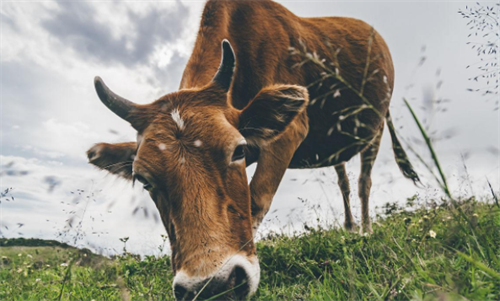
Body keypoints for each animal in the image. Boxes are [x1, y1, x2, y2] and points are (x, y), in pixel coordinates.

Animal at [86, 0, 418, 298]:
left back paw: (365, 230)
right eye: (143, 179)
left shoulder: (289, 133)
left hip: (375, 128)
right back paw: (349, 228)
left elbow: (256, 199)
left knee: (363, 183)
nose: (212, 287)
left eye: (238, 151)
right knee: (344, 182)